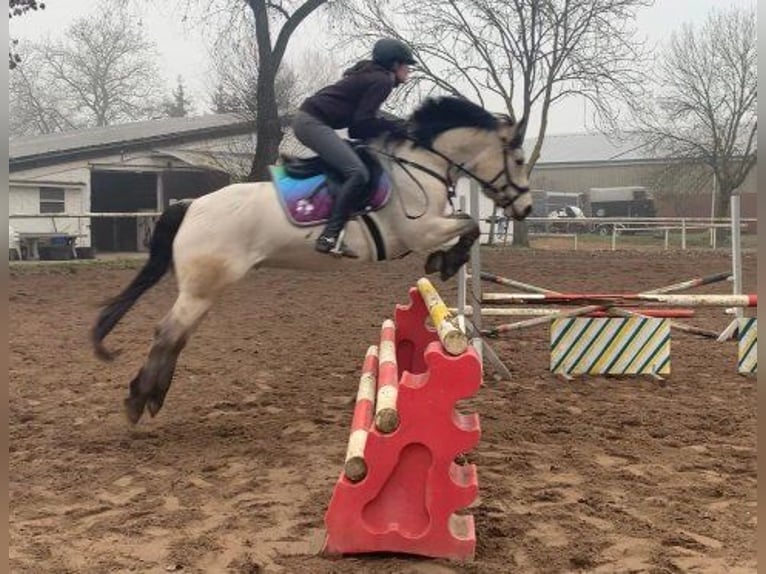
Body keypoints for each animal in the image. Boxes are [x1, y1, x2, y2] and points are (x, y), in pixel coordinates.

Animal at [91, 96, 533, 424]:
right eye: (519, 160)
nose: (526, 208)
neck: (419, 165)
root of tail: (191, 205)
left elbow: (468, 224)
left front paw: (444, 261)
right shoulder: (420, 230)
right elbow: (469, 224)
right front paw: (444, 261)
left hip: (207, 289)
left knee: (176, 336)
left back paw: (151, 396)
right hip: (202, 288)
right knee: (167, 332)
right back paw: (139, 400)